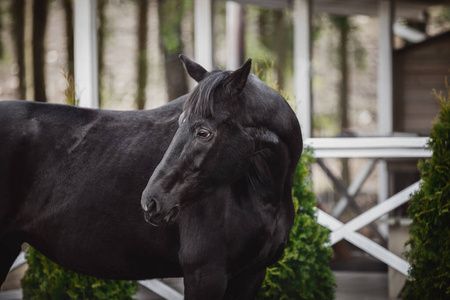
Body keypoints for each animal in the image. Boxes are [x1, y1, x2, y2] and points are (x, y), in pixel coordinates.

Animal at [0, 55, 302, 298]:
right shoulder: (206, 273)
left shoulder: (251, 275)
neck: (264, 197)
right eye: (180, 123)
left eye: (204, 132)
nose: (152, 201)